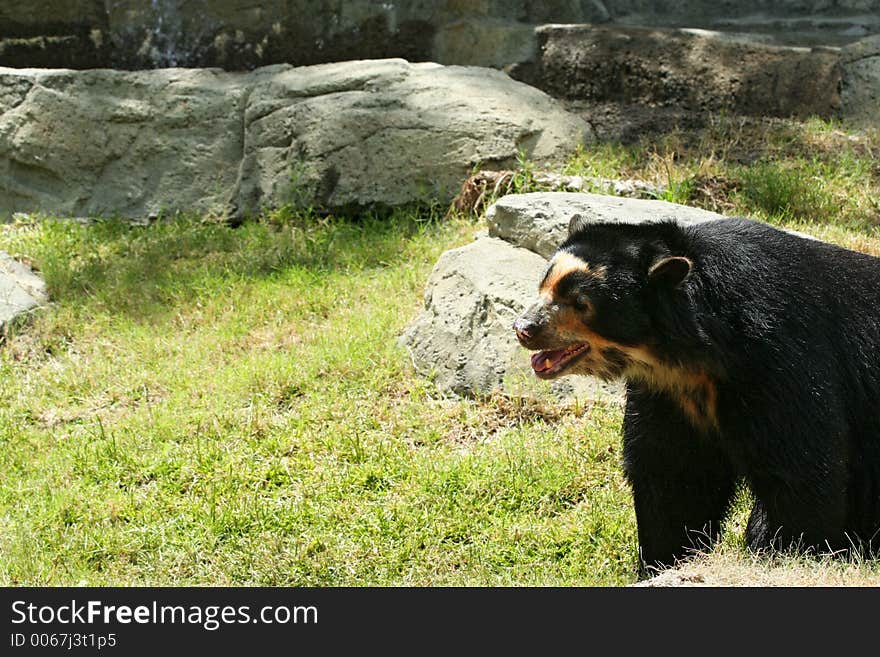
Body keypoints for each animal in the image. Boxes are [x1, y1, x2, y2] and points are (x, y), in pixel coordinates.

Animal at [512, 215, 880, 576]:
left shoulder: (779, 361)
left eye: (580, 303)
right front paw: (664, 562)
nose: (524, 328)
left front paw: (788, 552)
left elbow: (800, 468)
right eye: (545, 284)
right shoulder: (668, 394)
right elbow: (675, 478)